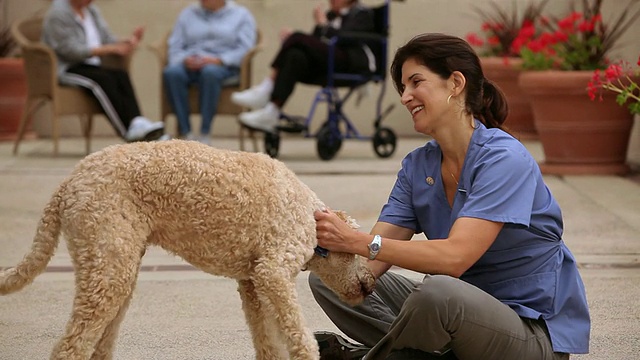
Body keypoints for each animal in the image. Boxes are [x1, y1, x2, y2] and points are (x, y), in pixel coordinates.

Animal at [0, 141, 378, 360]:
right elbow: (300, 340)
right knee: (70, 347)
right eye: (356, 251)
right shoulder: (273, 273)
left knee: (98, 342)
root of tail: (67, 184)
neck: (313, 218)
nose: (370, 283)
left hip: (114, 268)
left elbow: (270, 344)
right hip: (108, 268)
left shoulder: (254, 283)